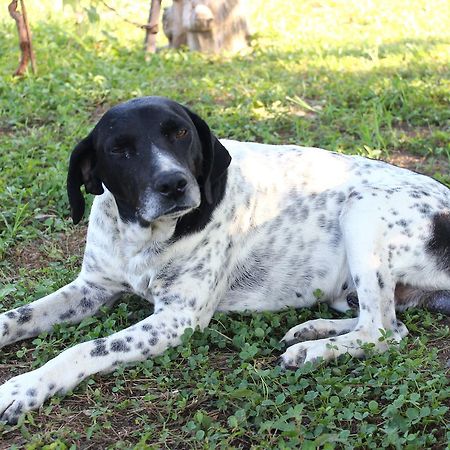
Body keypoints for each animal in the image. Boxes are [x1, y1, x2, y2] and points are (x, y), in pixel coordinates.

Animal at [0, 96, 450, 424]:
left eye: (180, 132)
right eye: (119, 150)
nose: (173, 184)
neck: (142, 237)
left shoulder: (176, 319)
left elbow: (84, 349)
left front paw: (23, 389)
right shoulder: (92, 286)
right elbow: (17, 316)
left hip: (362, 212)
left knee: (383, 330)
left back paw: (313, 351)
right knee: (385, 321)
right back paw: (312, 330)